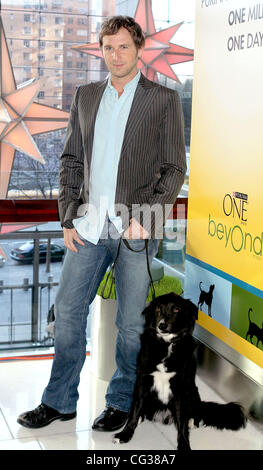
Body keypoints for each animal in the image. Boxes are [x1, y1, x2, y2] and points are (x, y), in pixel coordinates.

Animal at [113, 292, 248, 450]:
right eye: (158, 308)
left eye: (176, 309)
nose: (162, 325)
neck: (167, 345)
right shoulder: (142, 381)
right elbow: (134, 410)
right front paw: (125, 434)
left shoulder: (181, 389)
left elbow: (182, 424)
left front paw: (184, 444)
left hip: (193, 391)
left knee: (195, 413)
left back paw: (192, 421)